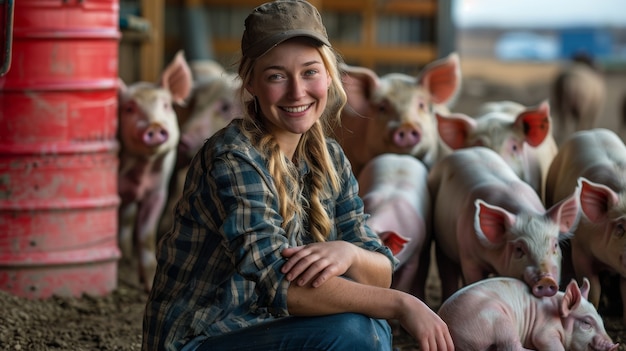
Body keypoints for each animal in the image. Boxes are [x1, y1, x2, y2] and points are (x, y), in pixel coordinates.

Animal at [117, 51, 193, 292]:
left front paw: (148, 285)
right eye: (129, 108)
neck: (142, 169)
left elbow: (146, 236)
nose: (155, 126)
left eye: (166, 105)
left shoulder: (158, 192)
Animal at [426, 147, 576, 302]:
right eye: (519, 249)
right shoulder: (469, 257)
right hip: (440, 241)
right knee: (446, 268)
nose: (546, 280)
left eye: (555, 245)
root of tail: (466, 150)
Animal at [436, 278, 616, 351]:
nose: (615, 346)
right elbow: (549, 342)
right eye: (586, 323)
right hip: (499, 320)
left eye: (601, 320)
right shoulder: (544, 330)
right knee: (510, 347)